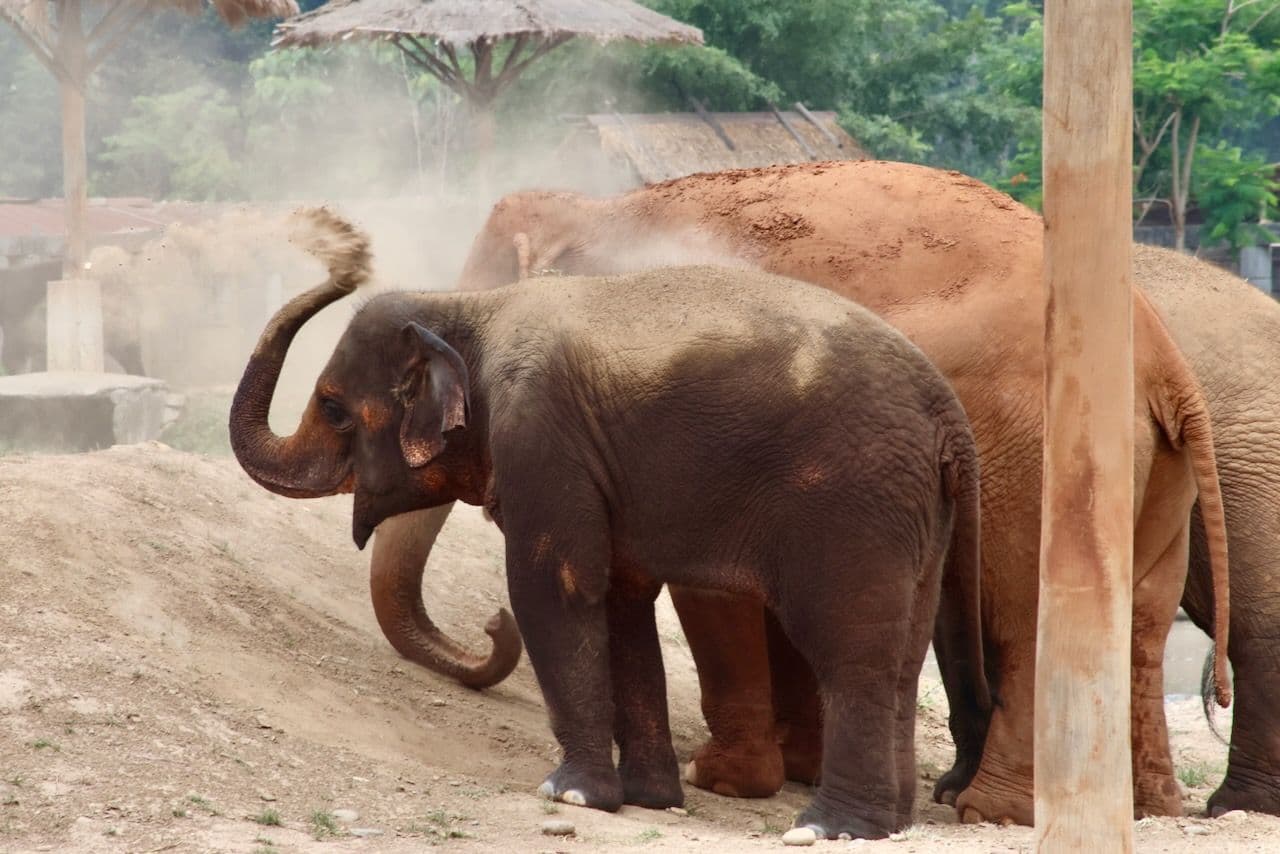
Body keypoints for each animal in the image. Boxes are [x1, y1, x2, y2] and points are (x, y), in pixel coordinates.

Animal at [228, 207, 991, 841]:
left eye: (332, 407)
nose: (345, 247)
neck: (472, 309)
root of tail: (948, 416)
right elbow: (622, 604)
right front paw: (649, 799)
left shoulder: (542, 438)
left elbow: (554, 589)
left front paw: (570, 796)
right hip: (919, 517)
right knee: (902, 655)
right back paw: (888, 825)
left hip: (855, 503)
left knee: (852, 651)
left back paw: (829, 830)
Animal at [365, 160, 1232, 827]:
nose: (490, 626)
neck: (608, 206)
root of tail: (1163, 360)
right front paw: (793, 768)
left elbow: (716, 591)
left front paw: (725, 779)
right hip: (1155, 475)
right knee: (1142, 626)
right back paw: (1146, 805)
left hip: (1043, 455)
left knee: (1029, 622)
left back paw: (994, 810)